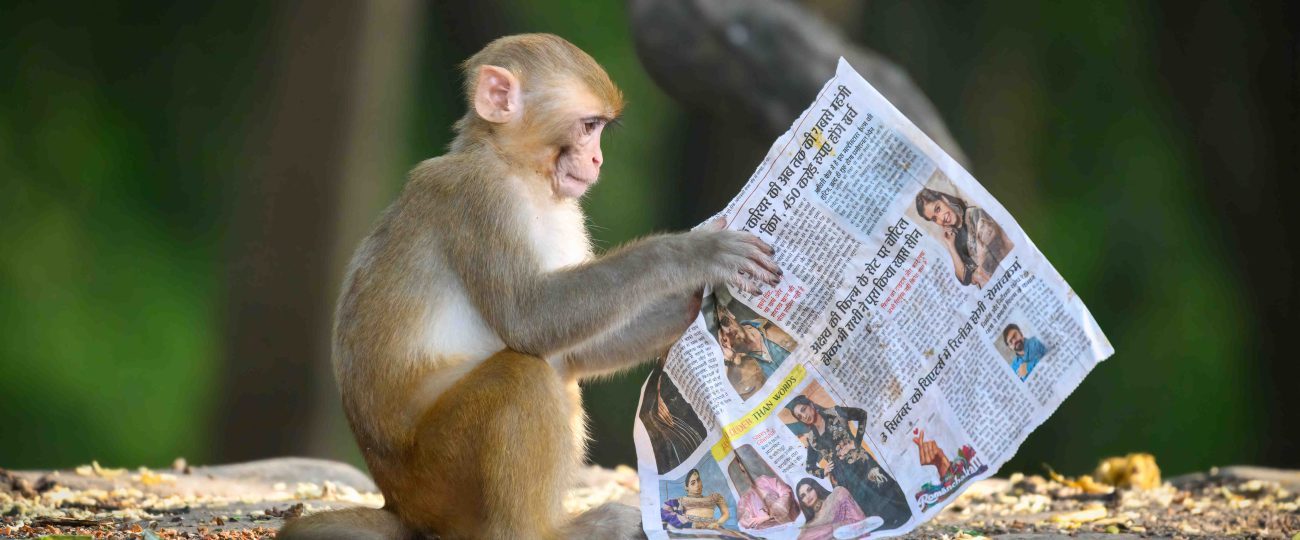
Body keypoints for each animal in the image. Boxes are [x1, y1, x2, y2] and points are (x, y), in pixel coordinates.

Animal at [277, 34, 780, 540]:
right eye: (589, 126)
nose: (597, 159)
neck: (517, 170)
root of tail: (402, 507)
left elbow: (574, 350)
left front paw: (694, 301)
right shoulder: (481, 199)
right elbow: (531, 321)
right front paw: (694, 253)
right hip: (439, 474)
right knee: (523, 377)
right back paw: (546, 530)